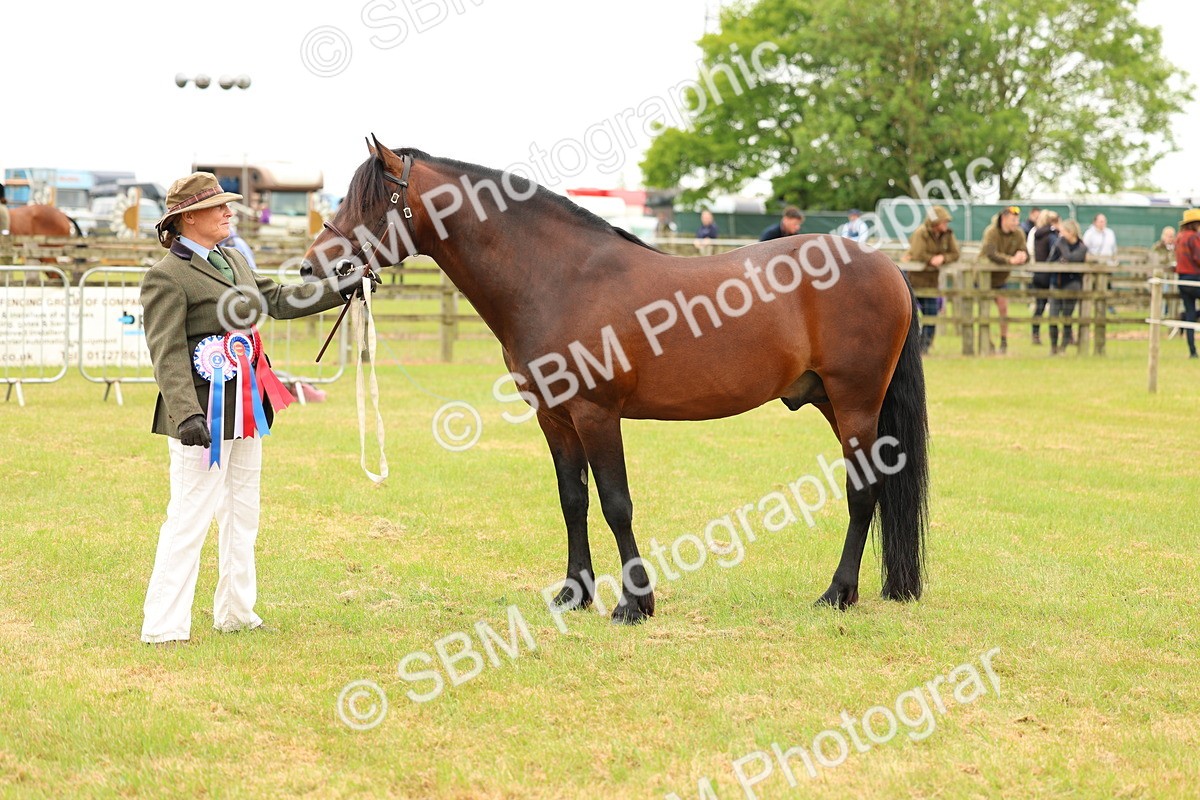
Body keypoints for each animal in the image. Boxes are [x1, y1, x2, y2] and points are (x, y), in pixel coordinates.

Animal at [301, 137, 929, 624]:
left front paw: (634, 603)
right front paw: (574, 594)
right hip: (831, 402)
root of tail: (886, 264)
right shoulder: (553, 418)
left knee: (862, 490)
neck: (556, 278)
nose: (311, 267)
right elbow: (573, 500)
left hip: (854, 402)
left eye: (373, 200)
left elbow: (615, 503)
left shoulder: (596, 414)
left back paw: (837, 594)